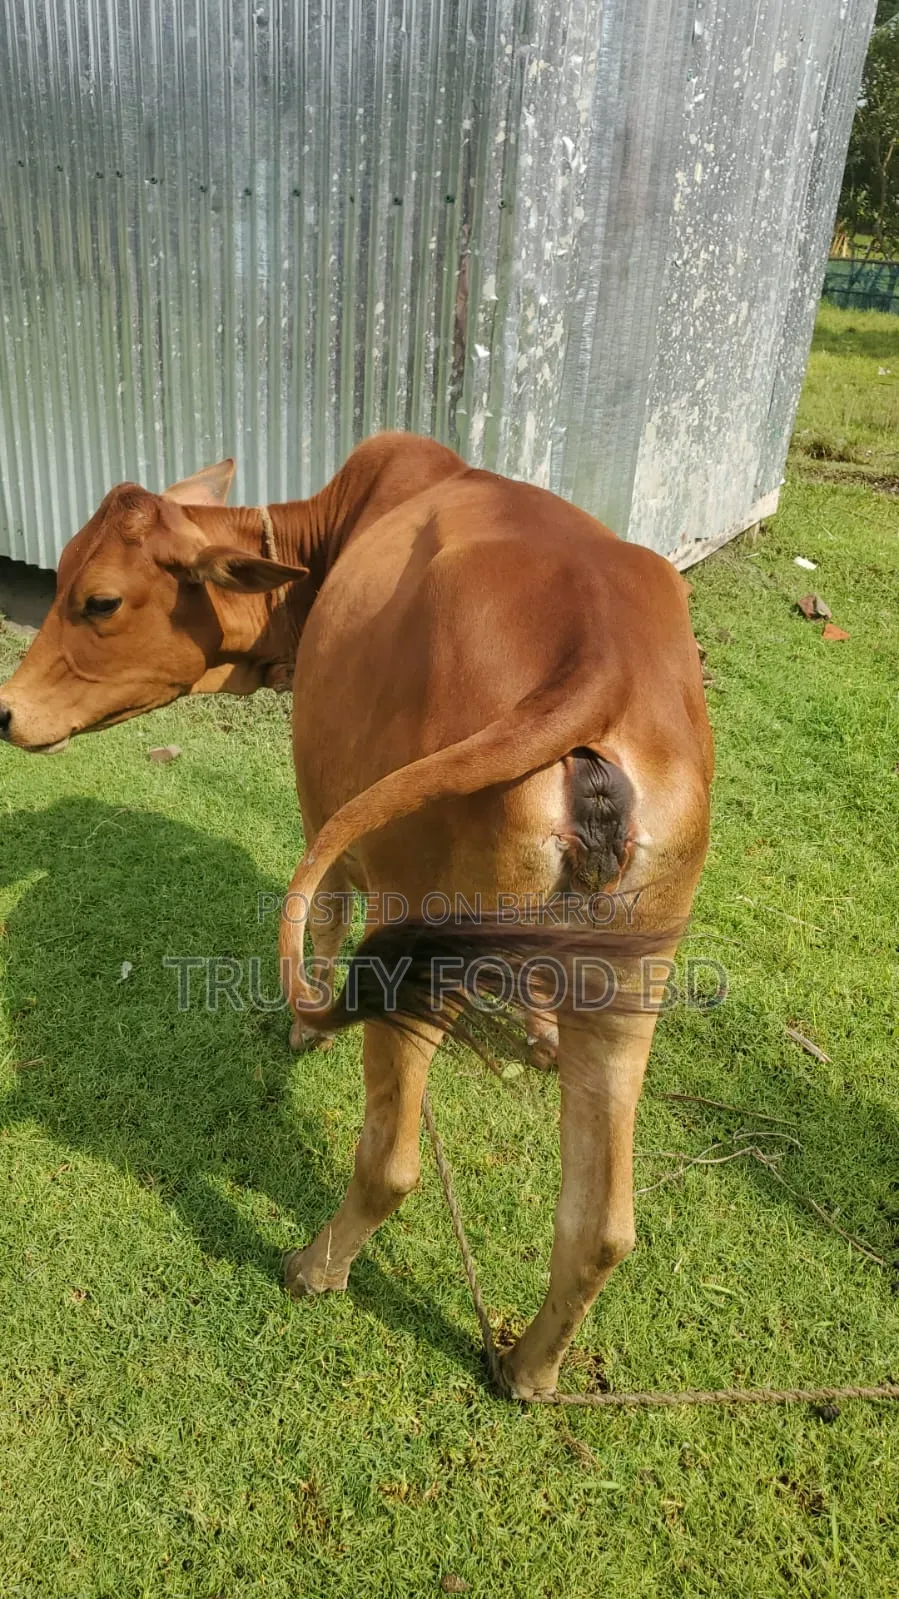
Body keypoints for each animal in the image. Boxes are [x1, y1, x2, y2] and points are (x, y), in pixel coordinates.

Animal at [0, 432, 712, 1399]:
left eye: (99, 599)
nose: (4, 711)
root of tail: (600, 658)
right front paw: (537, 1033)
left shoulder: (320, 805)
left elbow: (329, 912)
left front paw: (305, 1033)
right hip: (630, 979)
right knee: (601, 1225)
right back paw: (528, 1365)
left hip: (418, 951)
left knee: (389, 1163)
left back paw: (314, 1265)